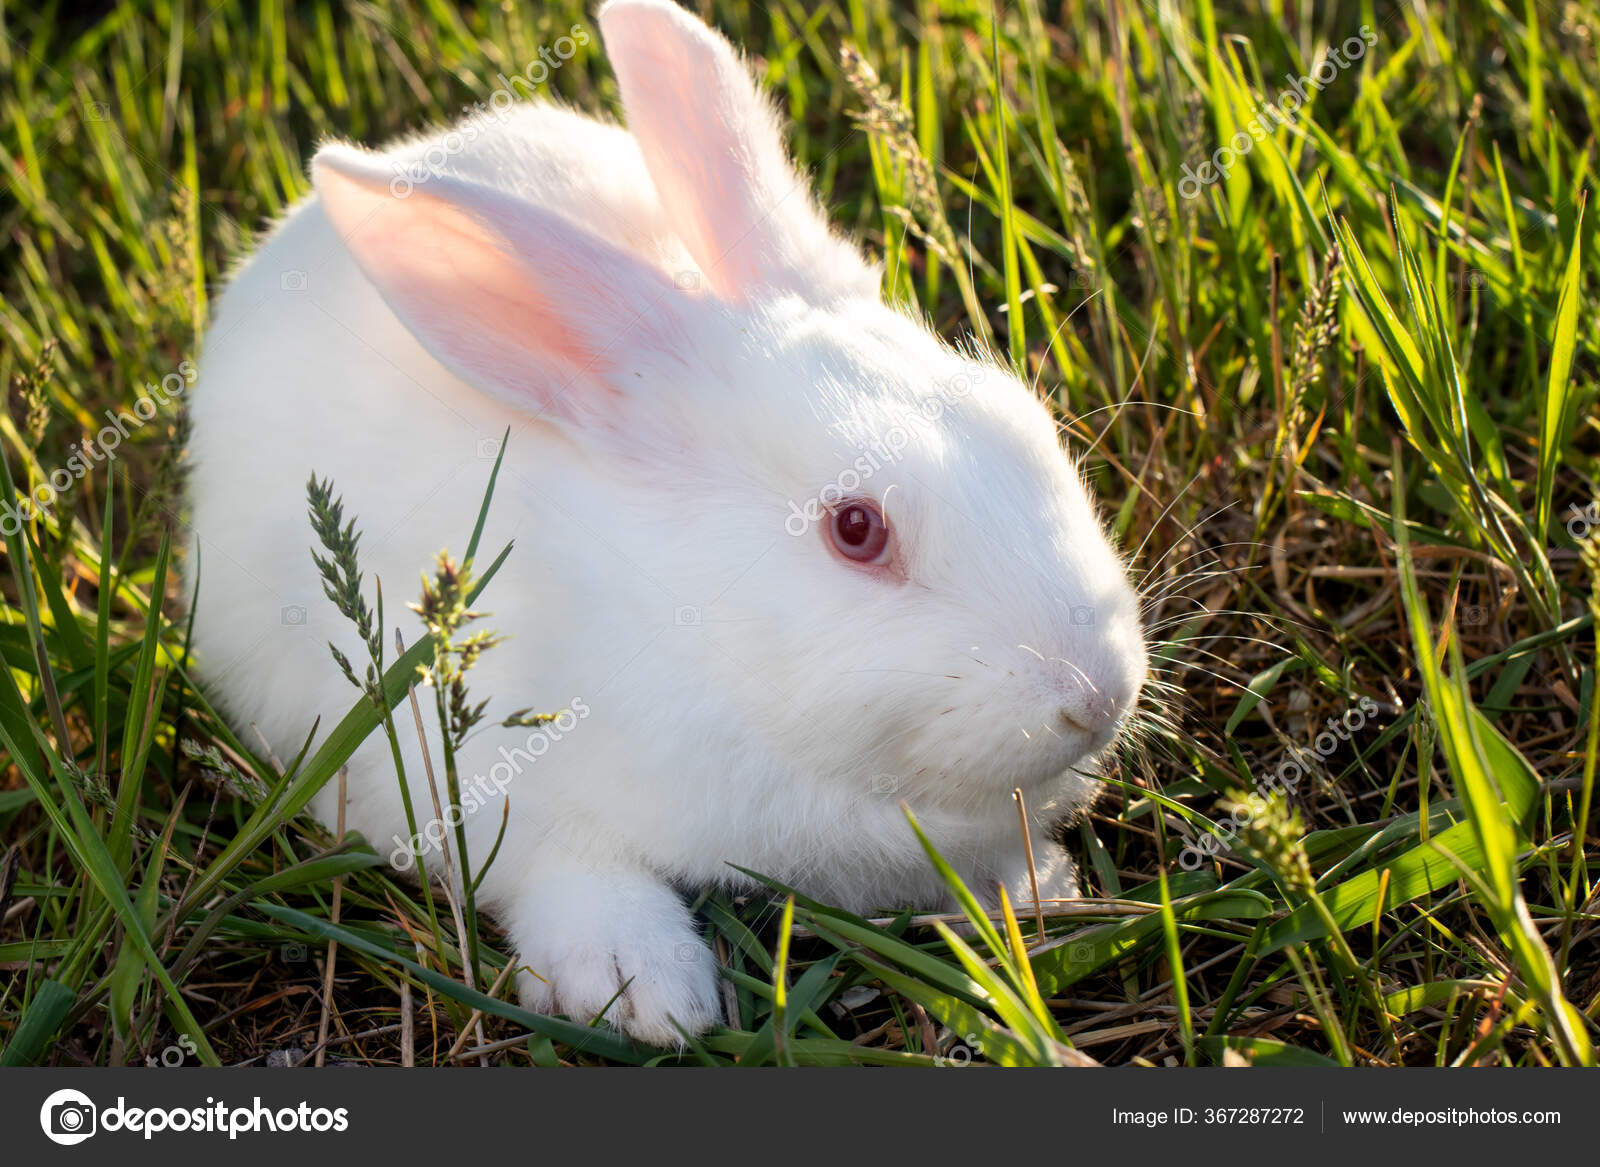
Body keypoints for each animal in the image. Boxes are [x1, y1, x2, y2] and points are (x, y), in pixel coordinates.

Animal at [184, 0, 1148, 1046]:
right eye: (856, 529)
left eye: (1025, 420)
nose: (1097, 696)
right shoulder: (480, 782)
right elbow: (571, 876)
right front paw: (643, 991)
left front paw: (1043, 883)